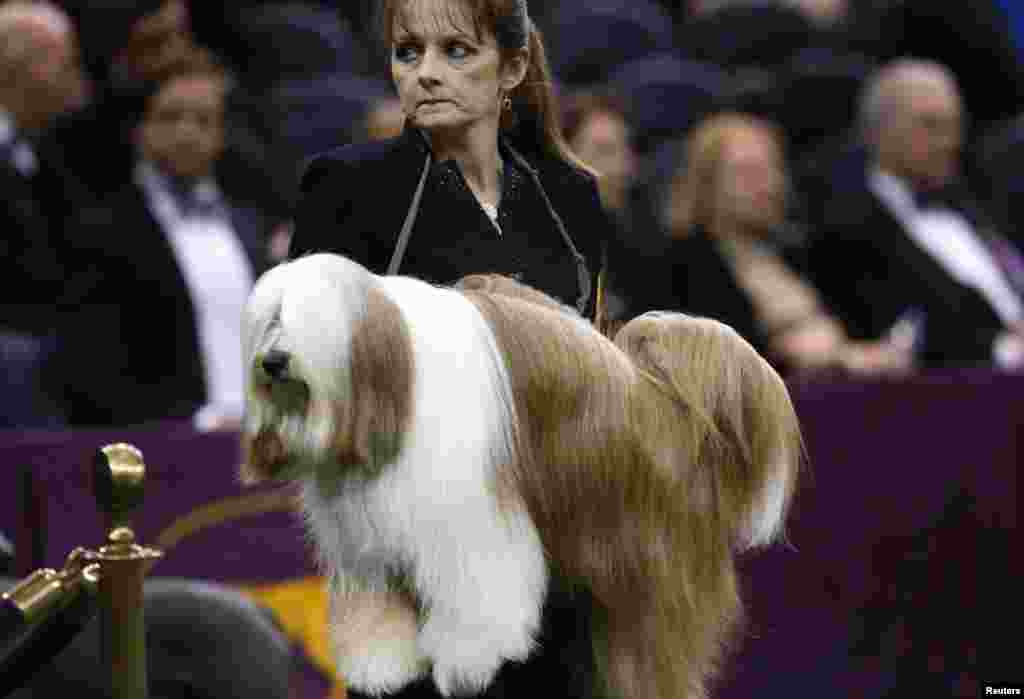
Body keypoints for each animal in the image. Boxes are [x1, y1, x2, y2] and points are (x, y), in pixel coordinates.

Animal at [239, 253, 798, 699]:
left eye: (310, 323)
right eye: (271, 319)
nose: (273, 361)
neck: (396, 383)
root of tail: (658, 392)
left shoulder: (469, 527)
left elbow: (476, 597)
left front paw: (465, 663)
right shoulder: (367, 541)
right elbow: (378, 608)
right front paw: (379, 667)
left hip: (645, 562)